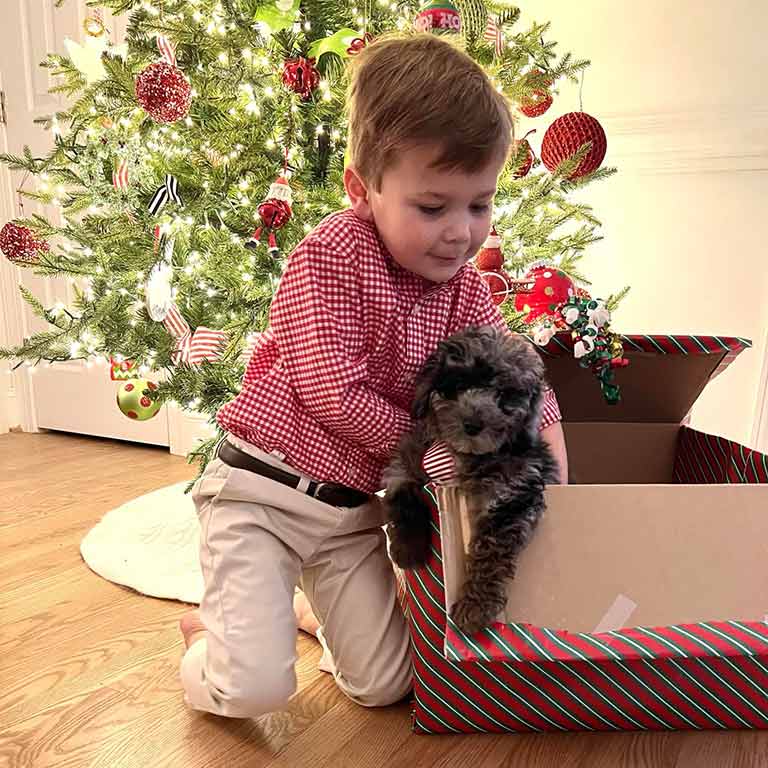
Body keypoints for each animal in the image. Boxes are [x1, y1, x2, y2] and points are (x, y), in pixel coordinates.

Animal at [384, 328, 560, 632]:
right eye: (458, 384)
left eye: (503, 394)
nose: (472, 425)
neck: (465, 455)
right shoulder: (409, 460)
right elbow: (402, 493)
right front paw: (407, 550)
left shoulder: (513, 495)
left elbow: (492, 548)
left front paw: (475, 606)